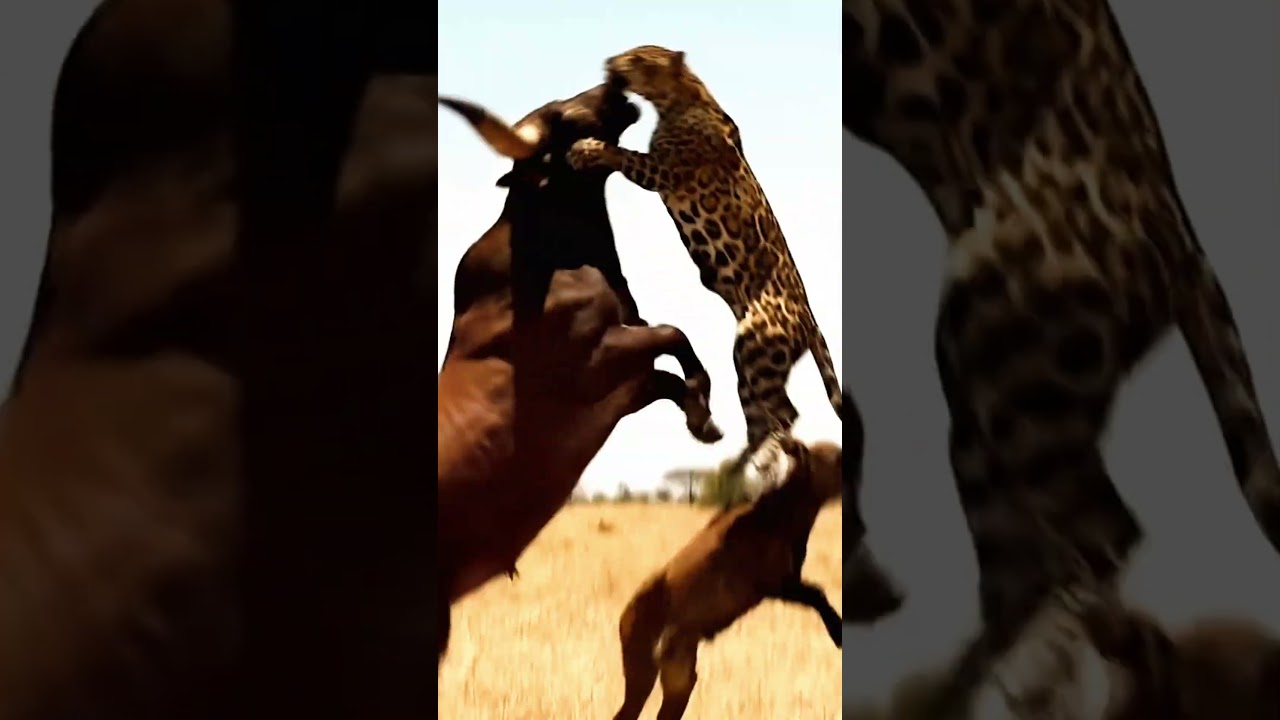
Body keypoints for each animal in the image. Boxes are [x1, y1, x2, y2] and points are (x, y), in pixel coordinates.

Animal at [437, 83, 724, 665]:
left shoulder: (626, 383)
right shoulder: (602, 359)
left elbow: (668, 371)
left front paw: (700, 418)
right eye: (565, 117)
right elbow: (674, 334)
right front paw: (704, 405)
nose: (616, 88)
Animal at [566, 44, 847, 482]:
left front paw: (587, 150)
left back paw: (765, 460)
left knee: (785, 411)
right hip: (750, 366)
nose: (611, 63)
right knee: (763, 414)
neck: (678, 100)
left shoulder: (661, 170)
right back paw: (743, 467)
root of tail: (810, 319)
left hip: (756, 347)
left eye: (640, 59)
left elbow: (623, 155)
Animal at [610, 436, 904, 720]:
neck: (778, 514)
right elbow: (818, 593)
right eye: (836, 457)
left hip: (679, 677)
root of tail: (624, 619)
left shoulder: (785, 582)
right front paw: (839, 633)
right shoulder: (775, 584)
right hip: (643, 674)